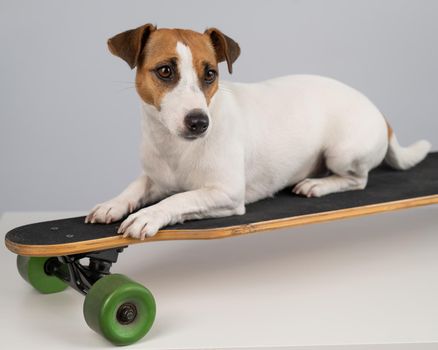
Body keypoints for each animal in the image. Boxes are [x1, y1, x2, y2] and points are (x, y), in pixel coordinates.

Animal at [84, 23, 430, 239]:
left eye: (210, 74)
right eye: (165, 71)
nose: (199, 122)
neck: (176, 148)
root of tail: (380, 113)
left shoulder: (225, 194)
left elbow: (179, 200)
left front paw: (149, 215)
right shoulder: (156, 178)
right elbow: (136, 187)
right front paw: (113, 204)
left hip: (342, 152)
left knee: (358, 180)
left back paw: (318, 185)